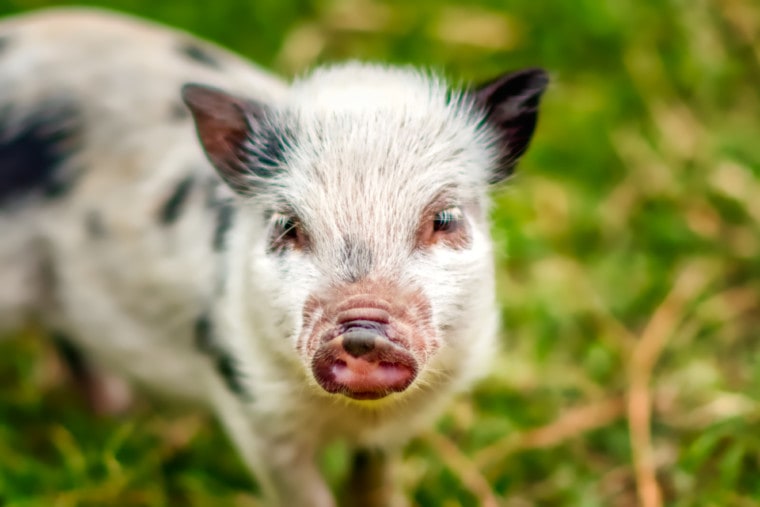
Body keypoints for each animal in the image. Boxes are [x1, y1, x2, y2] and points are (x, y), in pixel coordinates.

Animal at [0, 7, 548, 507]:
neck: (351, 416)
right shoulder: (253, 408)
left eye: (445, 219)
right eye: (288, 226)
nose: (362, 329)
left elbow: (373, 481)